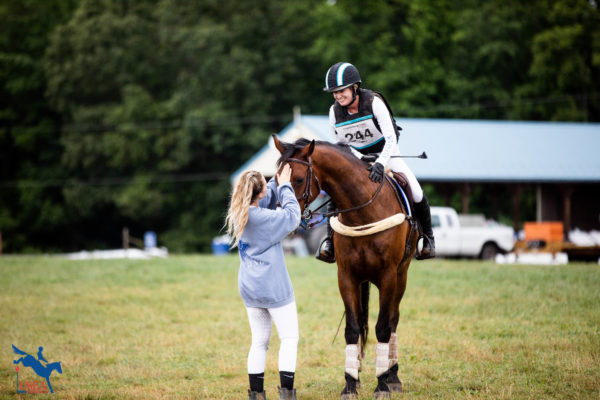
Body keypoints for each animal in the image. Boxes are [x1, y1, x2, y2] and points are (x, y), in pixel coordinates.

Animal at [272, 136, 418, 398]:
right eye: (277, 178)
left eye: (297, 179)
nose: (283, 219)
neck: (364, 210)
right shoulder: (347, 277)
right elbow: (352, 328)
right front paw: (350, 383)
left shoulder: (388, 276)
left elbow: (383, 327)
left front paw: (382, 384)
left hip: (401, 276)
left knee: (393, 320)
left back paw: (392, 376)